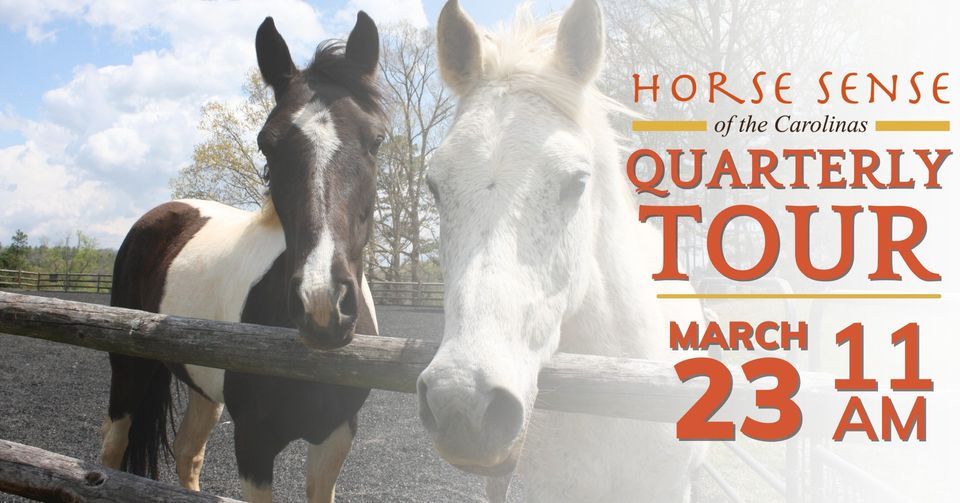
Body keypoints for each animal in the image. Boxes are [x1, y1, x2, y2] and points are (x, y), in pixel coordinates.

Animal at [98, 13, 385, 502]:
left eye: (377, 140)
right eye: (267, 144)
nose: (322, 304)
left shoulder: (335, 435)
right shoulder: (253, 443)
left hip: (201, 386)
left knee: (187, 453)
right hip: (129, 372)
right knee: (111, 451)